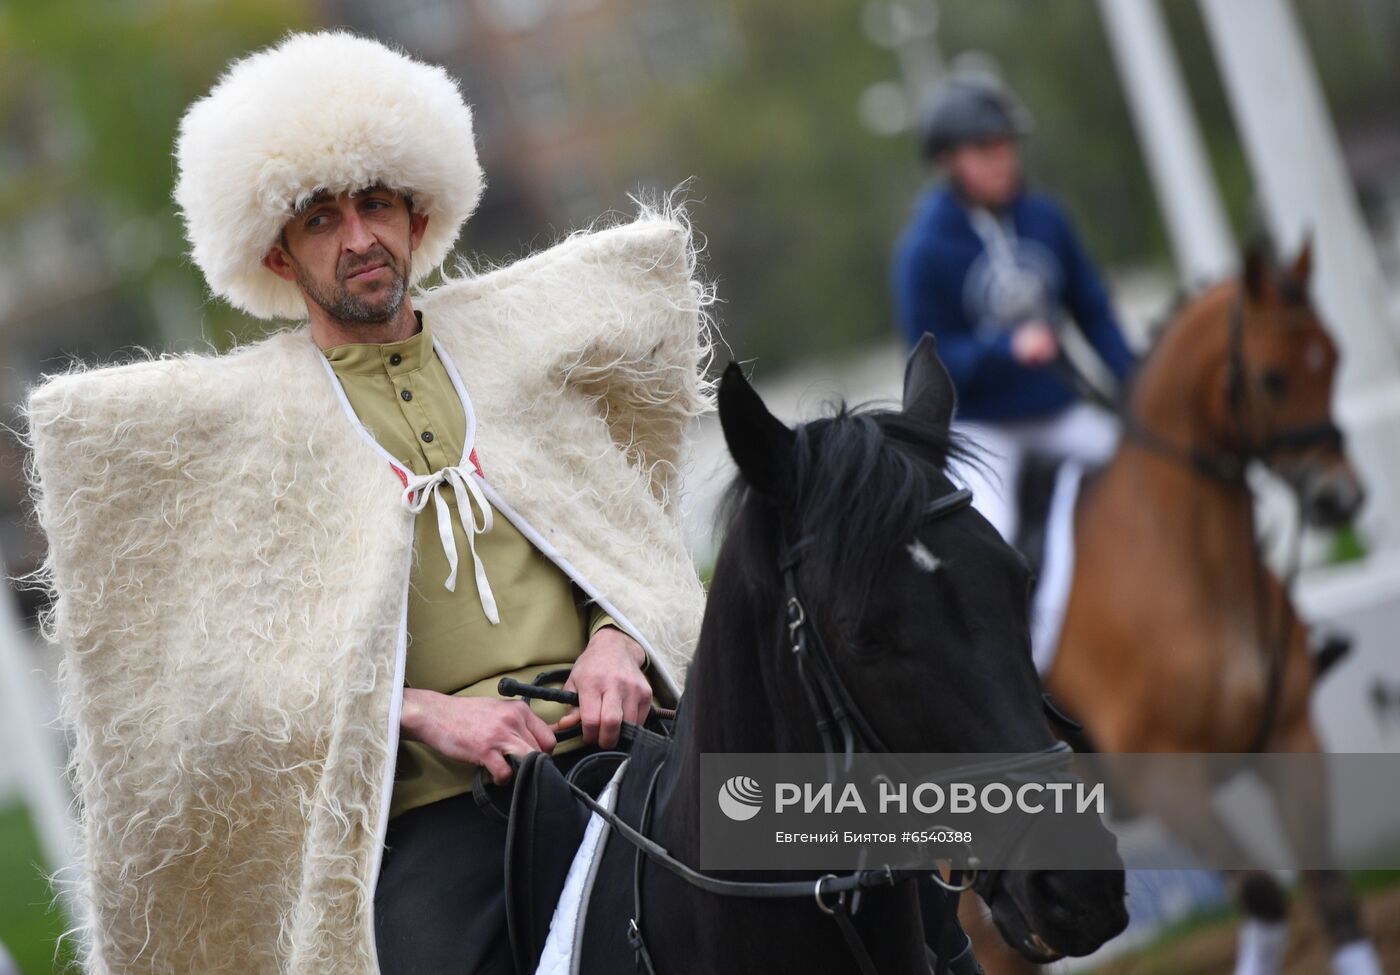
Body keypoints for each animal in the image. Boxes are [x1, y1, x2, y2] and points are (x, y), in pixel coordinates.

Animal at [968, 238, 1372, 975]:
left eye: (1332, 358)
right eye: (1272, 378)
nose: (1341, 499)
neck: (1187, 566)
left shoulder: (1290, 738)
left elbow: (1331, 892)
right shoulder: (1165, 779)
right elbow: (1266, 898)